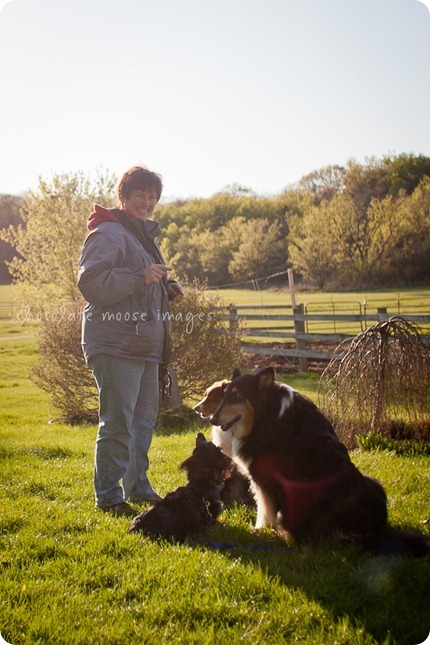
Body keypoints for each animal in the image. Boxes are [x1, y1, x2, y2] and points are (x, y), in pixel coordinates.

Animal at [209, 364, 430, 556]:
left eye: (238, 396)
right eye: (224, 395)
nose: (212, 420)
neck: (266, 415)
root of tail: (375, 531)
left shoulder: (265, 478)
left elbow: (265, 508)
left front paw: (260, 530)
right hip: (373, 482)